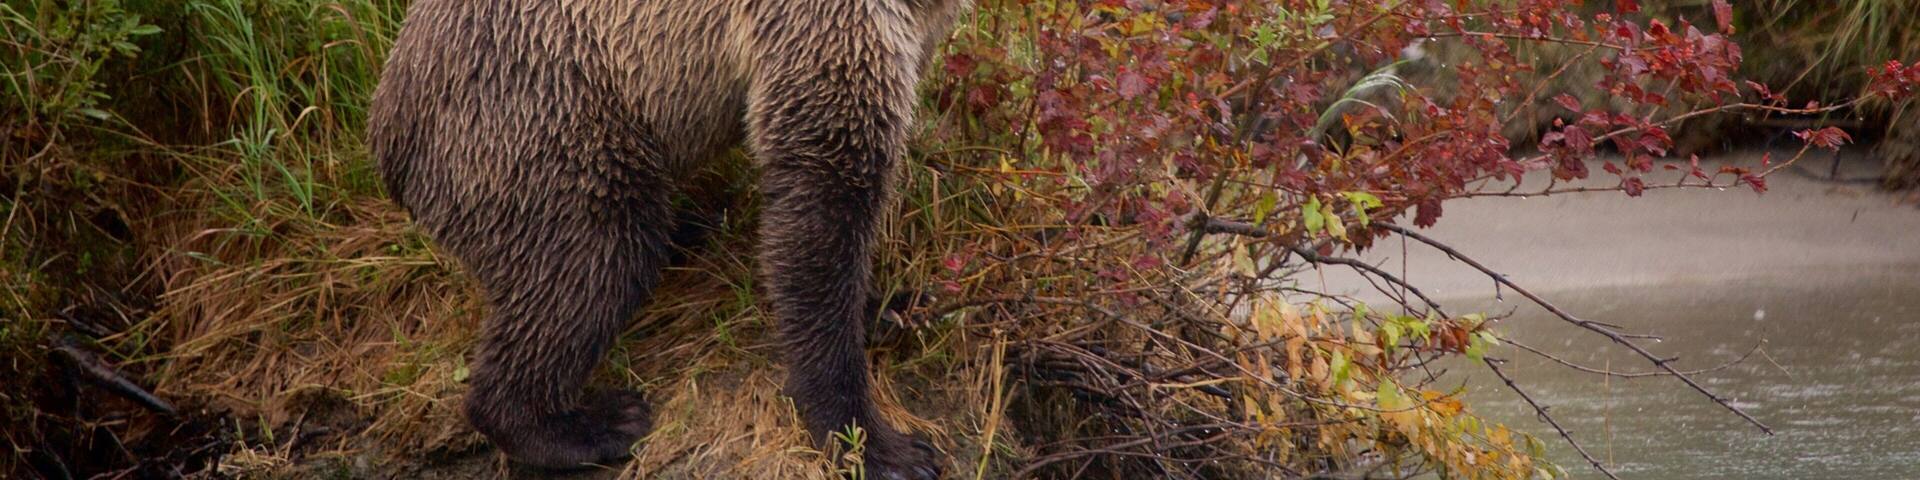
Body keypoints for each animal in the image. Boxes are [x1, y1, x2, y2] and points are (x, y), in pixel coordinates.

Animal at [366, 0, 966, 477]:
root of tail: (386, 131)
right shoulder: (821, 30)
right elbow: (826, 188)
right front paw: (883, 447)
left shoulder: (914, 30)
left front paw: (895, 306)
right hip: (539, 115)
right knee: (593, 259)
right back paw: (590, 424)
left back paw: (692, 227)